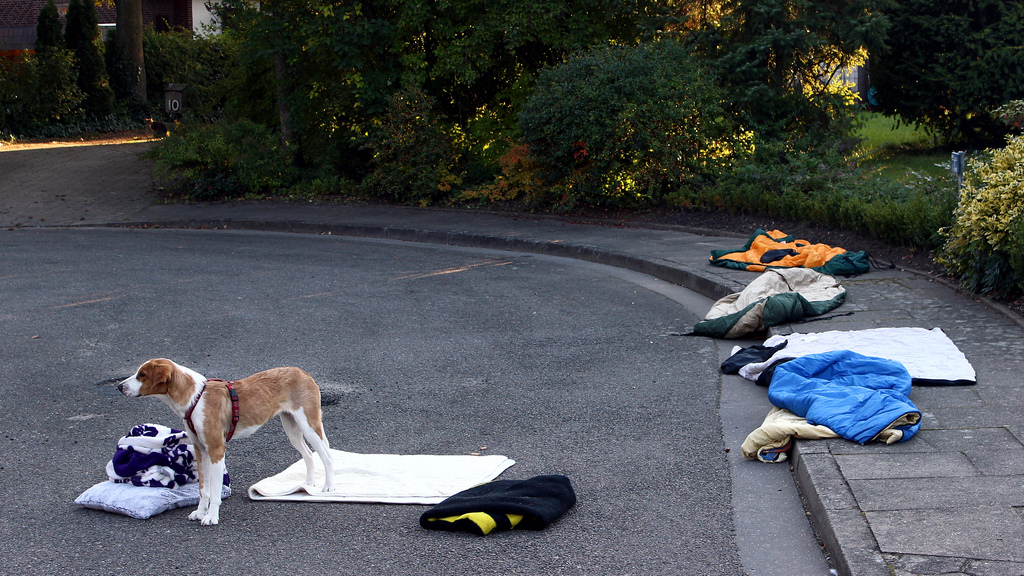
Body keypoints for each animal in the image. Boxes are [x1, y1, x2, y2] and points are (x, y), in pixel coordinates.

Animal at [118, 356, 335, 522]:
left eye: (142, 375)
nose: (119, 386)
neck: (195, 399)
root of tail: (303, 372)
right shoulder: (200, 451)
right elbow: (204, 490)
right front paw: (200, 513)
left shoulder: (216, 450)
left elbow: (215, 491)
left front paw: (211, 517)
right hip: (292, 429)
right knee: (309, 455)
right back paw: (307, 484)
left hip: (308, 426)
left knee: (327, 456)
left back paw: (328, 487)